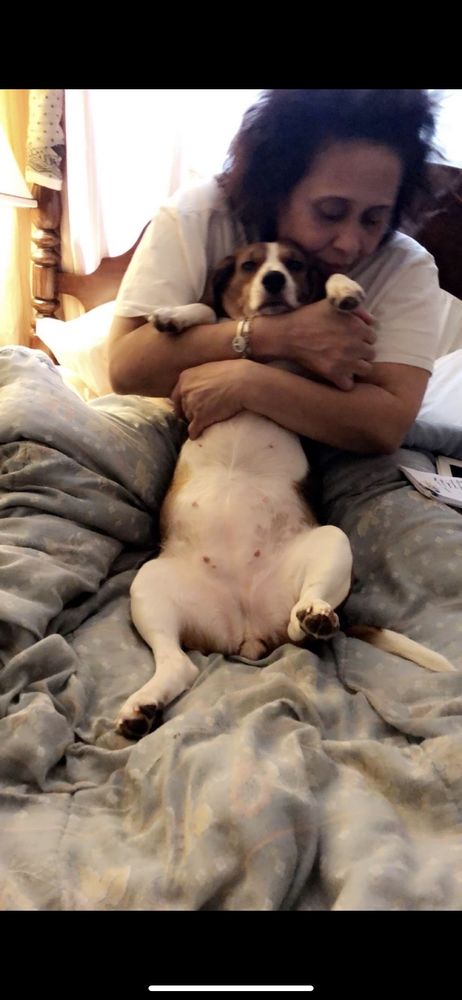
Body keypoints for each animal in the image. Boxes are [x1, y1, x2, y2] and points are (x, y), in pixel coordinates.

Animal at [116, 240, 454, 739]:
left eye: (294, 263)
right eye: (248, 265)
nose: (274, 280)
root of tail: (246, 630)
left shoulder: (335, 383)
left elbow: (328, 284)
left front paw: (343, 290)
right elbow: (208, 309)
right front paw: (175, 316)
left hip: (330, 544)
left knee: (302, 625)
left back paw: (314, 616)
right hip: (149, 586)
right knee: (180, 664)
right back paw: (143, 706)